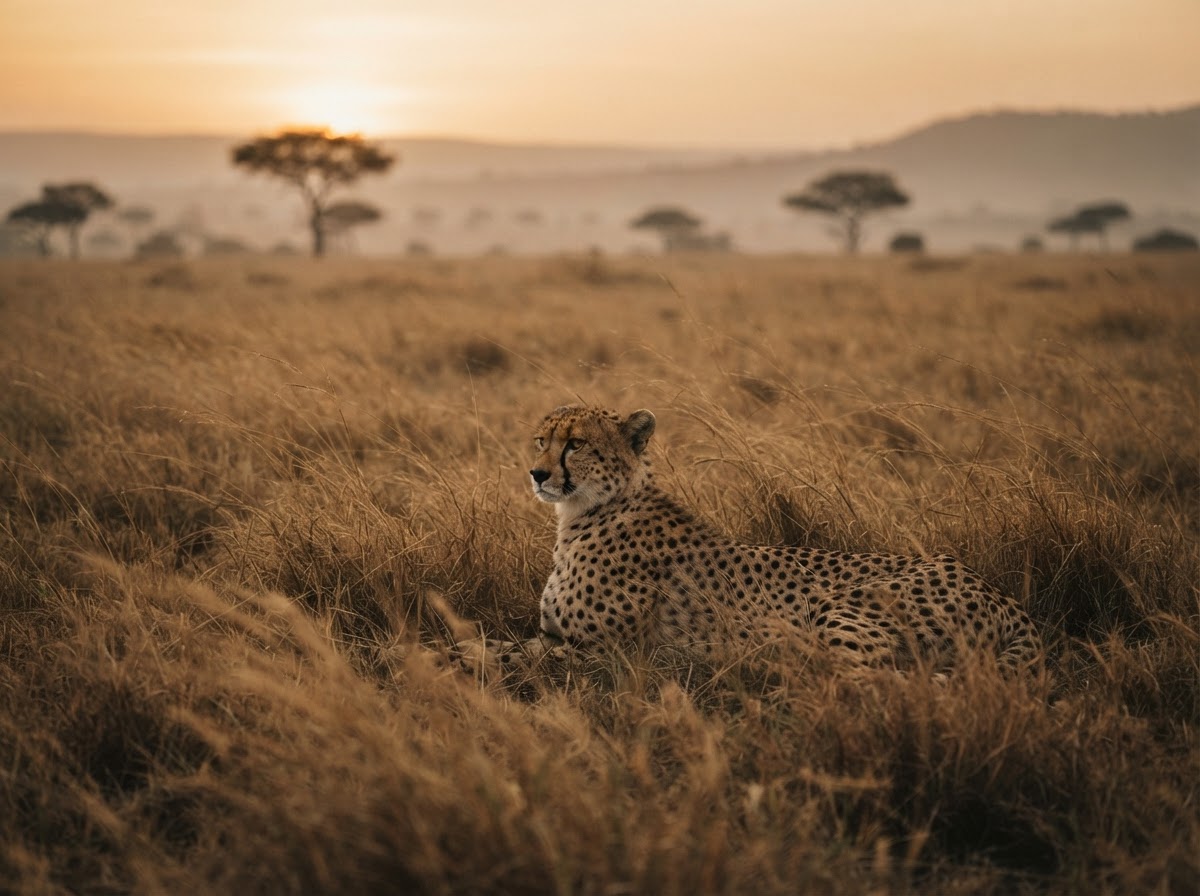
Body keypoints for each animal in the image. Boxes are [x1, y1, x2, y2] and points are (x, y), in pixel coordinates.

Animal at [453, 405, 1042, 680]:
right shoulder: (555, 637)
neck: (589, 512)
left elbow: (504, 655)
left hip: (840, 611)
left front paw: (448, 663)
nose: (536, 474)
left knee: (872, 681)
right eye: (541, 440)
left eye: (575, 444)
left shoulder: (608, 655)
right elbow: (490, 641)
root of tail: (998, 593)